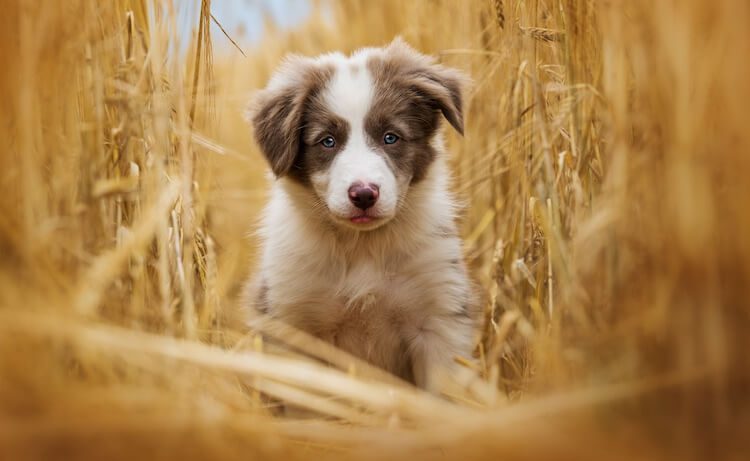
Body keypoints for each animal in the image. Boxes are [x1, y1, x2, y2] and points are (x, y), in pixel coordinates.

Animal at [247, 40, 482, 392]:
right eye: (327, 141)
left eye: (391, 137)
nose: (364, 194)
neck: (362, 246)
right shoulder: (293, 321)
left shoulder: (439, 319)